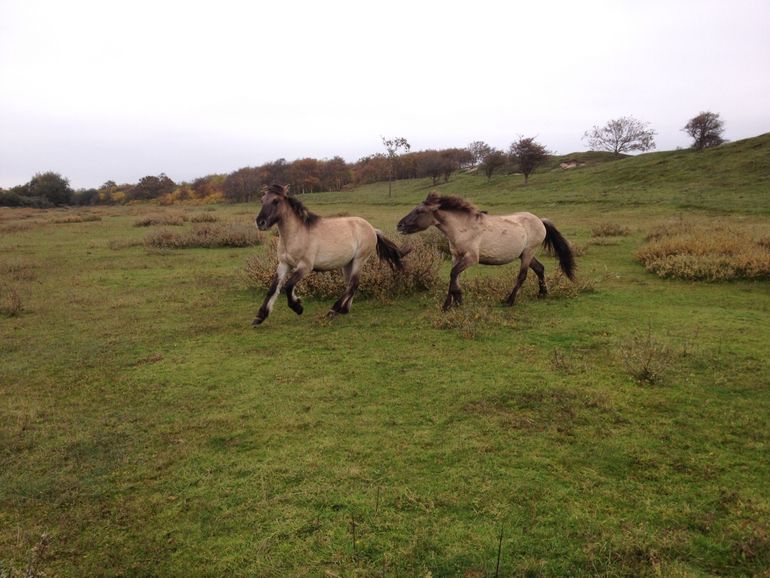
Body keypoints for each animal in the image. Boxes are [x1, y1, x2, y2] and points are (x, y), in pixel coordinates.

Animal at [254, 183, 408, 324]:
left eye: (275, 201)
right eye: (262, 200)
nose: (260, 222)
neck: (296, 234)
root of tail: (372, 229)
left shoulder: (305, 267)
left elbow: (288, 285)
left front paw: (298, 307)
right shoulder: (284, 264)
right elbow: (273, 288)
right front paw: (260, 317)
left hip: (359, 260)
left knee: (353, 284)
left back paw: (334, 310)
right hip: (348, 263)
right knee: (350, 285)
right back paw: (343, 310)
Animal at [400, 192, 572, 310]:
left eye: (419, 211)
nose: (399, 225)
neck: (463, 228)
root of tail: (540, 221)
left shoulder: (471, 257)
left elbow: (453, 274)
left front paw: (453, 301)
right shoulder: (456, 256)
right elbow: (455, 276)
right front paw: (453, 302)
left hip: (528, 253)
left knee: (522, 276)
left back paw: (509, 301)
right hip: (524, 254)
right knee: (539, 268)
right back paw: (542, 293)